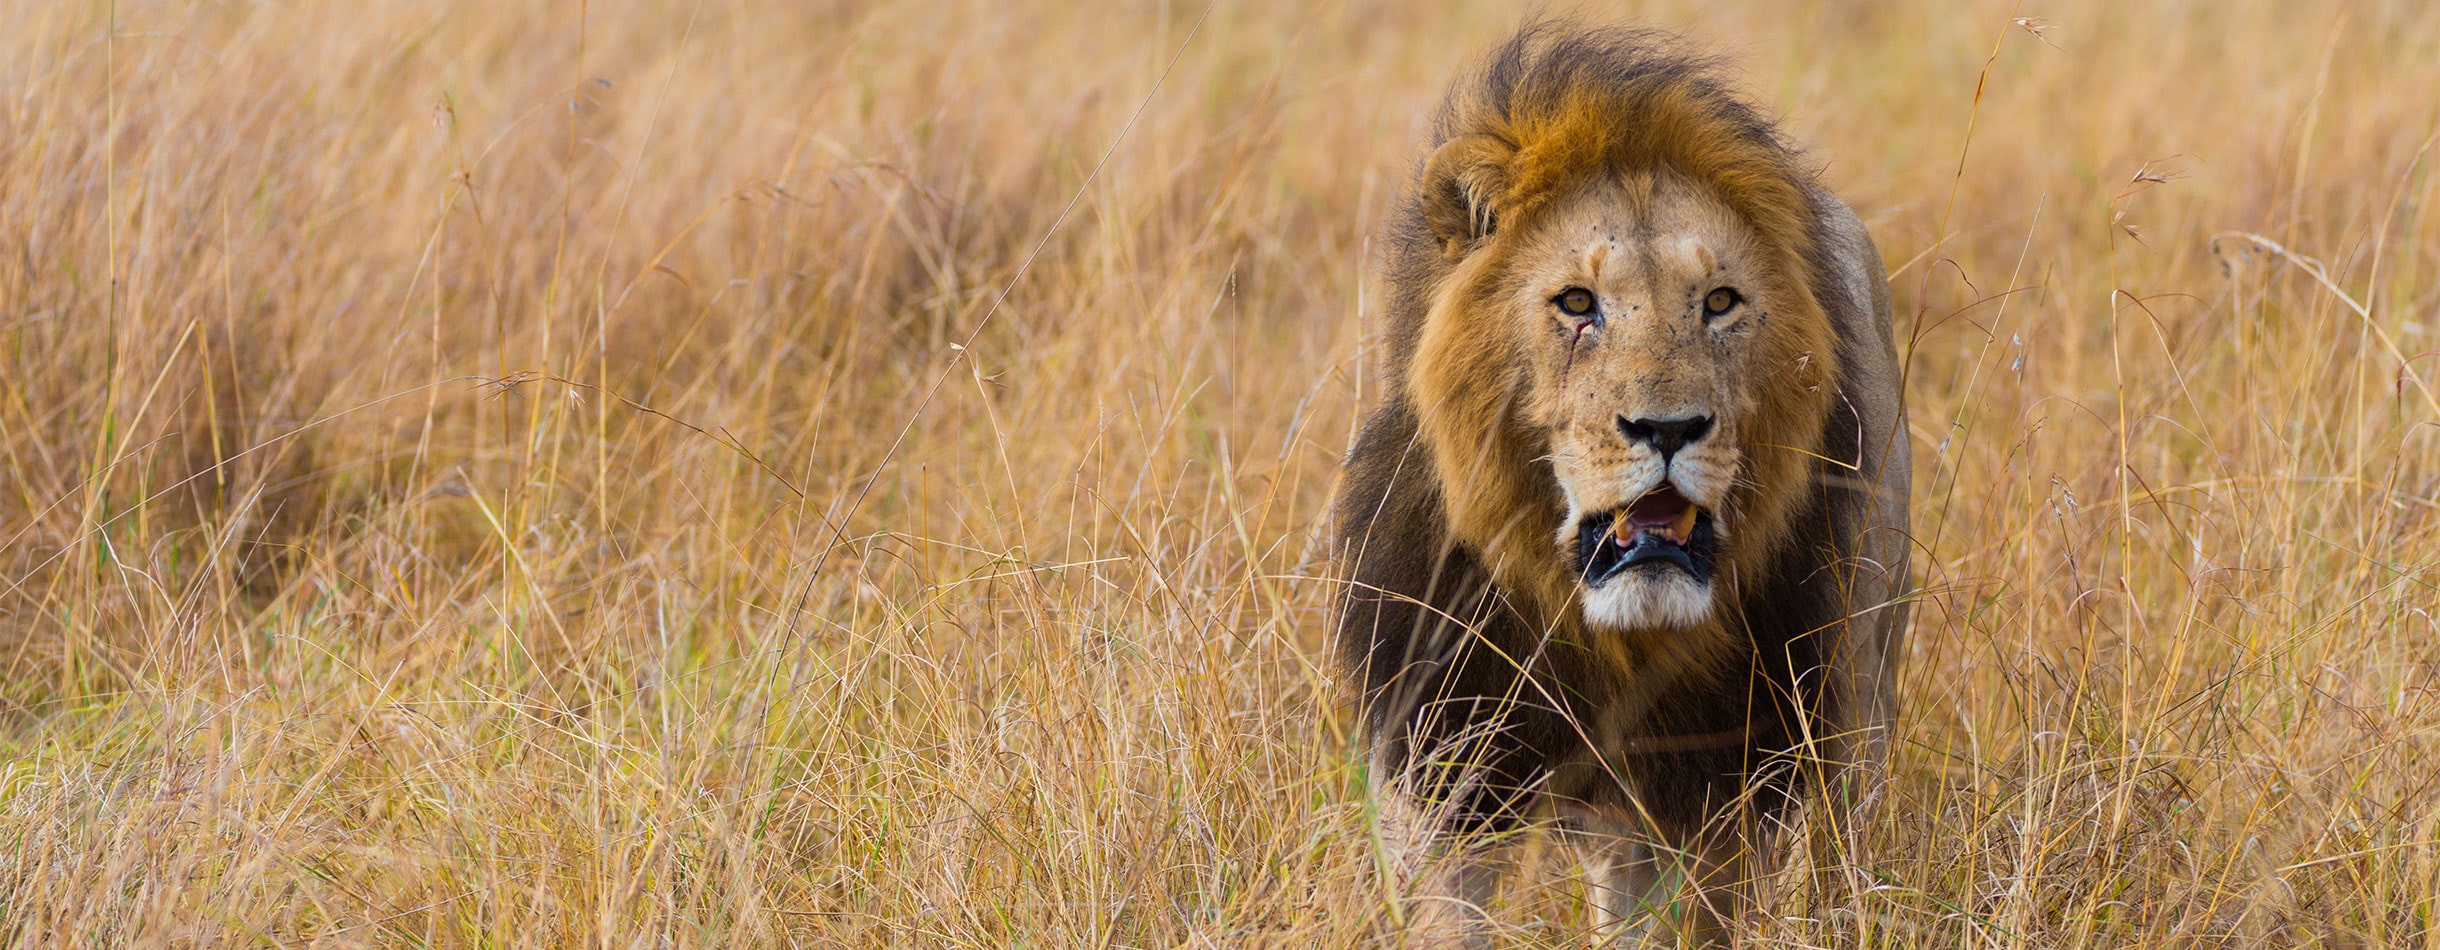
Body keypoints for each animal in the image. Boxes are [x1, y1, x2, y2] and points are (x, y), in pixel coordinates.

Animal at [1327, 25, 1912, 942]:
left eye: (1719, 301)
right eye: (1577, 303)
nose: (1668, 429)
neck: (1608, 638)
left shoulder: (1705, 791)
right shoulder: (1442, 764)